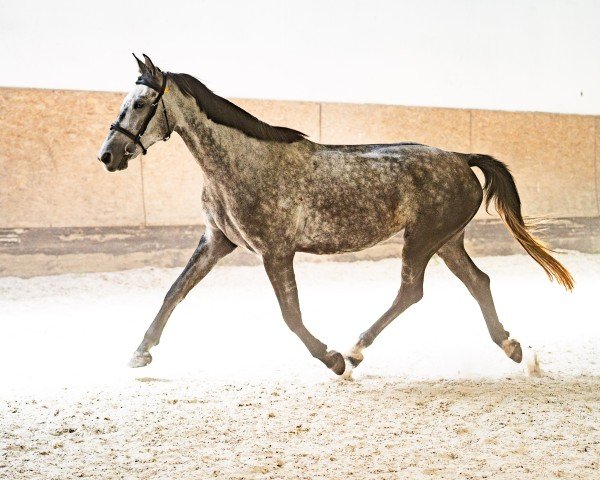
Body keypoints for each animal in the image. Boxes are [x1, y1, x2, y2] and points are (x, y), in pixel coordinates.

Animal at [97, 55, 572, 378]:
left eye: (140, 103)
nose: (108, 155)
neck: (239, 164)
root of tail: (461, 157)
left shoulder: (275, 251)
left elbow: (291, 315)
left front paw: (332, 360)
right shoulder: (217, 241)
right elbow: (174, 292)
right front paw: (140, 353)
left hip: (422, 239)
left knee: (412, 291)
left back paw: (356, 349)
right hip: (446, 241)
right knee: (478, 282)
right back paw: (511, 347)